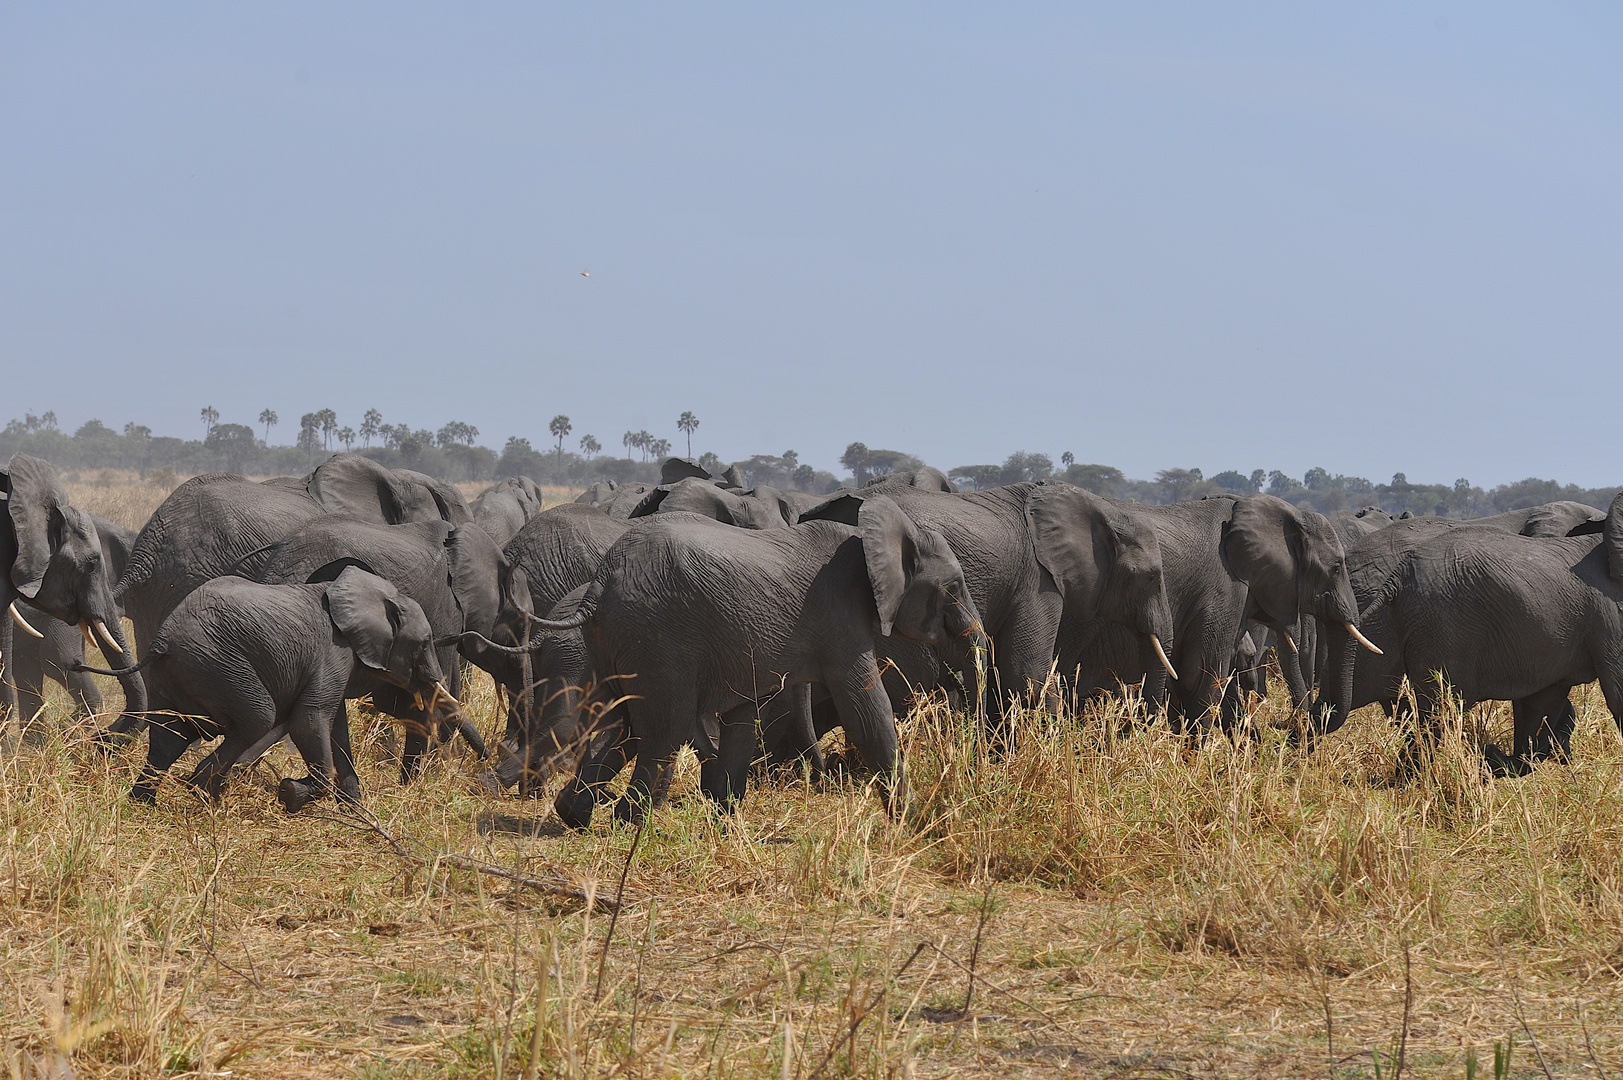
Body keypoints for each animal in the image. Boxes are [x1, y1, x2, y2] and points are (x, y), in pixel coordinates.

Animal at [79, 565, 473, 808]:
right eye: (425, 643)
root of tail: (161, 639)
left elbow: (334, 725)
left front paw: (354, 809)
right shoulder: (332, 651)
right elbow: (309, 720)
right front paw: (291, 794)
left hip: (176, 673)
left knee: (168, 736)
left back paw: (145, 801)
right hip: (217, 663)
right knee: (257, 717)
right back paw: (205, 793)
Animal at [509, 500, 986, 825]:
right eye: (954, 587)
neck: (876, 535)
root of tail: (600, 583)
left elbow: (743, 719)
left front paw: (725, 821)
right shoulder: (841, 619)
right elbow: (867, 711)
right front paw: (918, 825)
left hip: (620, 638)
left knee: (627, 722)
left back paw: (573, 814)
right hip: (657, 634)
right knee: (663, 728)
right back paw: (633, 826)